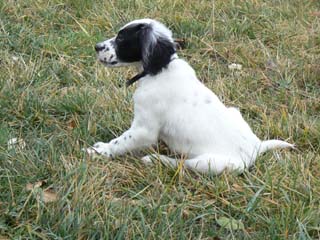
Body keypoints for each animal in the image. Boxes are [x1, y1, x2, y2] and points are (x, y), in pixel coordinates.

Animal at [87, 18, 292, 174]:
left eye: (121, 38)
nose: (96, 46)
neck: (160, 70)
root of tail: (257, 148)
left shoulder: (143, 129)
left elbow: (120, 141)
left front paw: (99, 151)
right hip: (234, 112)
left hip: (211, 163)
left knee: (183, 164)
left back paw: (156, 159)